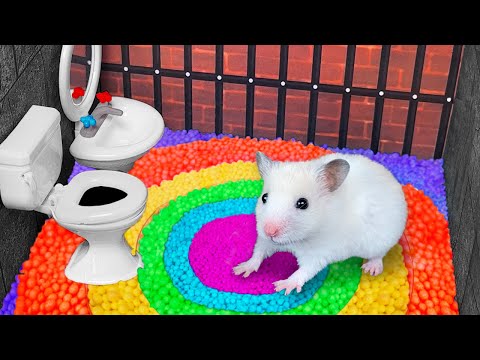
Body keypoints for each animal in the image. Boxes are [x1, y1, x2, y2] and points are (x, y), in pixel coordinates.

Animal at [234, 150, 406, 294]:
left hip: (381, 241)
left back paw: (371, 268)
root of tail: (392, 179)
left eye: (303, 203)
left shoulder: (318, 254)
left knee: (379, 255)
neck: (298, 240)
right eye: (264, 197)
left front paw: (282, 286)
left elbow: (304, 271)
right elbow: (259, 251)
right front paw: (240, 269)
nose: (270, 231)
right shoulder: (266, 241)